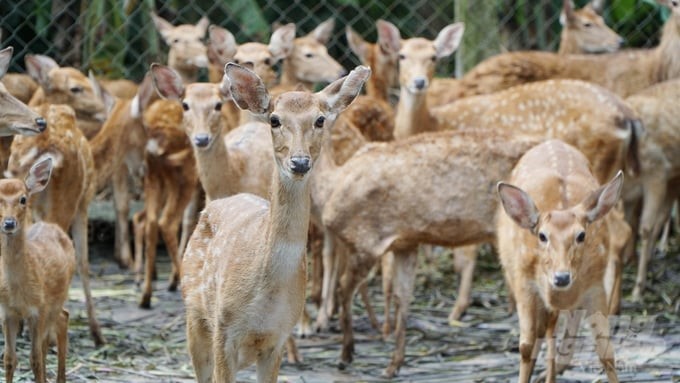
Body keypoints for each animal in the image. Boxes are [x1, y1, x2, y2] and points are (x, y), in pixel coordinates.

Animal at [0, 158, 75, 383]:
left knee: (59, 324)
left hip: (56, 299)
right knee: (62, 319)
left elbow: (35, 359)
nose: (9, 223)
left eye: (23, 199)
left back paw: (60, 379)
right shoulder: (7, 312)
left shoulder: (38, 310)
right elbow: (9, 359)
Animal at [179, 63, 366, 383]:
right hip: (195, 313)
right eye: (275, 120)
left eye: (320, 119)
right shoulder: (223, 331)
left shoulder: (276, 338)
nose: (300, 162)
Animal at [494, 140, 620, 383]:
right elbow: (525, 346)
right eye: (542, 236)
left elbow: (606, 351)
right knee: (542, 331)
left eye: (581, 235)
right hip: (513, 273)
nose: (561, 277)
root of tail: (552, 141)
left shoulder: (595, 284)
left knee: (549, 327)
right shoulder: (524, 282)